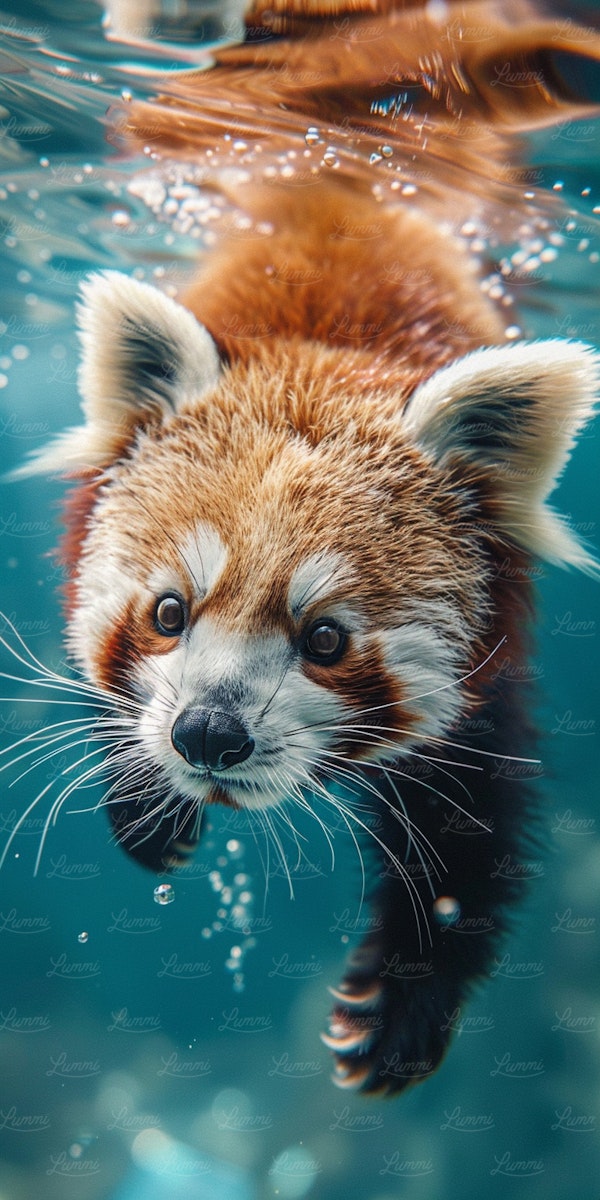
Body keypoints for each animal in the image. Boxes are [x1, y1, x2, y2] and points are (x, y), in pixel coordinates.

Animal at [10, 0, 600, 1094]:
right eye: (168, 613)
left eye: (325, 640)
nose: (207, 735)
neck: (320, 344)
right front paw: (148, 806)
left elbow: (473, 823)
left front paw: (400, 1009)